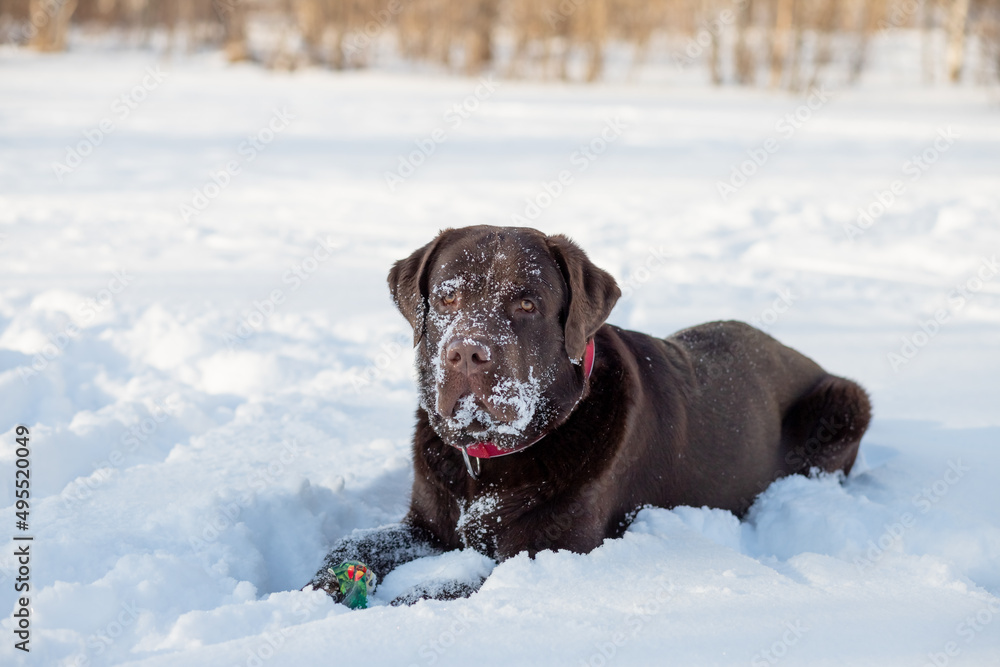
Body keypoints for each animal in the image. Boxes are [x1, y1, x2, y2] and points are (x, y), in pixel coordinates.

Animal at [308, 226, 872, 604]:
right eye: (447, 297)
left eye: (527, 304)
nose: (466, 353)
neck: (491, 459)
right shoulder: (427, 525)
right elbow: (351, 543)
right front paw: (318, 588)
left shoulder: (546, 551)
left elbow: (442, 587)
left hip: (848, 402)